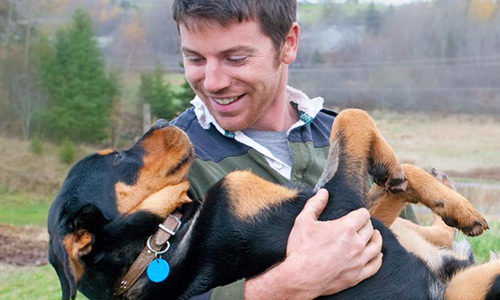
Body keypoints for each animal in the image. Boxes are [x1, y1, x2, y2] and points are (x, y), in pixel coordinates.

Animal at [47, 109, 496, 300]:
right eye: (117, 159)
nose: (161, 122)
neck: (163, 240)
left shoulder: (355, 214)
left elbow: (396, 178)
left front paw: (447, 201)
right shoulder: (339, 207)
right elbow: (351, 118)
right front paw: (389, 161)